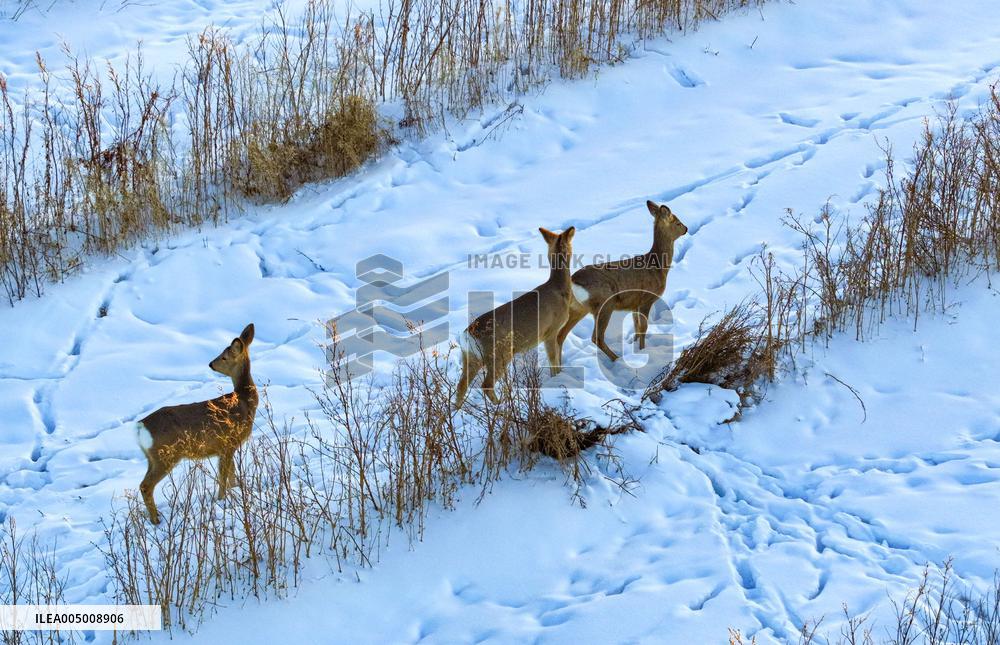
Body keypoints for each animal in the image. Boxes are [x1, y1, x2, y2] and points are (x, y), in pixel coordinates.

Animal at [135, 323, 258, 524]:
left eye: (224, 356)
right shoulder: (227, 443)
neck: (245, 402)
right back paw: (156, 521)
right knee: (146, 486)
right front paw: (222, 499)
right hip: (166, 454)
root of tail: (140, 427)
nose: (211, 364)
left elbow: (231, 474)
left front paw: (234, 491)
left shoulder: (226, 447)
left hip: (152, 457)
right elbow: (223, 475)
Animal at [454, 227, 576, 409]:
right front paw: (558, 378)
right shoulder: (551, 331)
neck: (559, 290)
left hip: (471, 357)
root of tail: (468, 334)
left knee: (461, 384)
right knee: (486, 384)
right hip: (499, 354)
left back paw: (456, 410)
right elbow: (553, 359)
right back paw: (501, 405)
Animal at [556, 200, 687, 362]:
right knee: (596, 337)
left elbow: (636, 327)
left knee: (560, 335)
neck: (657, 266)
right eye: (677, 222)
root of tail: (573, 280)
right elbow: (643, 327)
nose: (686, 229)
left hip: (578, 307)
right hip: (604, 303)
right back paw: (616, 359)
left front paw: (636, 347)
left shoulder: (634, 303)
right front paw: (642, 351)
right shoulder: (646, 299)